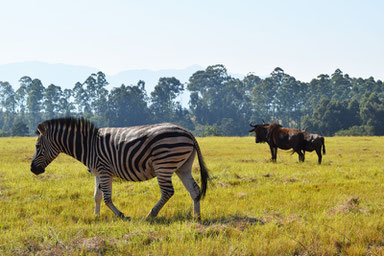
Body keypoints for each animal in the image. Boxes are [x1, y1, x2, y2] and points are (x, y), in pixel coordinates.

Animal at [30, 118, 210, 220]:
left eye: (37, 146)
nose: (32, 170)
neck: (88, 146)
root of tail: (188, 132)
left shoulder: (104, 170)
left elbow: (107, 198)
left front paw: (122, 215)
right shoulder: (97, 173)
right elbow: (96, 196)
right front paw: (96, 216)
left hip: (163, 165)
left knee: (167, 192)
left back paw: (150, 215)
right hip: (183, 167)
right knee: (194, 190)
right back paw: (197, 217)